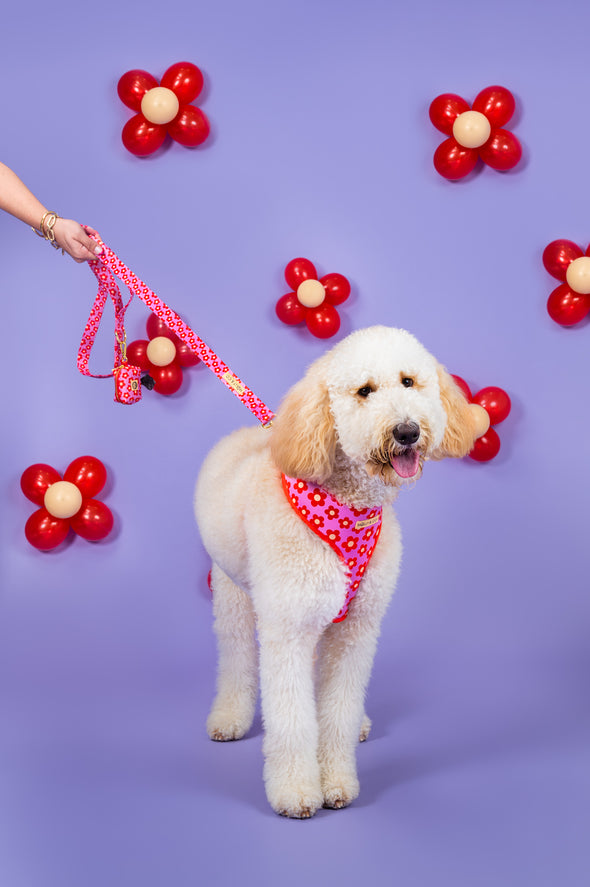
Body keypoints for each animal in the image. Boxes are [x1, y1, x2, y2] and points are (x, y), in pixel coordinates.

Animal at [197, 324, 488, 820]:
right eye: (364, 391)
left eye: (409, 382)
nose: (407, 431)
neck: (346, 506)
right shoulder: (288, 627)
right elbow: (292, 718)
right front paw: (296, 791)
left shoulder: (356, 629)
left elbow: (337, 712)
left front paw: (336, 782)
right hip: (234, 592)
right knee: (236, 657)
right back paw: (229, 716)